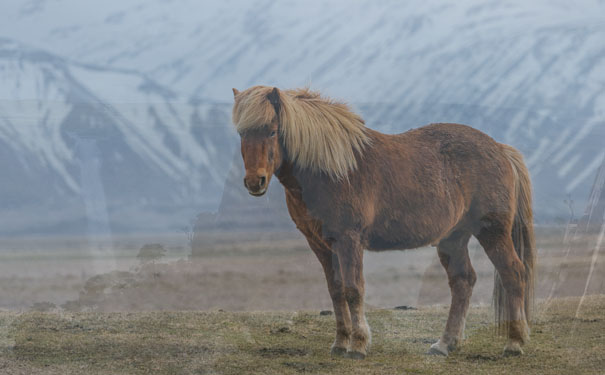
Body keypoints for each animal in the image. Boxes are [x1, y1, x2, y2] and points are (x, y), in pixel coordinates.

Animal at [230, 86, 532, 362]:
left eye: (271, 131)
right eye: (242, 134)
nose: (255, 182)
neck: (330, 170)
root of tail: (500, 149)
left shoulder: (349, 240)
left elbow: (353, 290)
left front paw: (358, 345)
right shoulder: (321, 245)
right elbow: (335, 291)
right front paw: (340, 343)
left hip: (493, 232)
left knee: (513, 273)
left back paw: (514, 343)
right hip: (453, 238)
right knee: (463, 281)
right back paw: (445, 344)